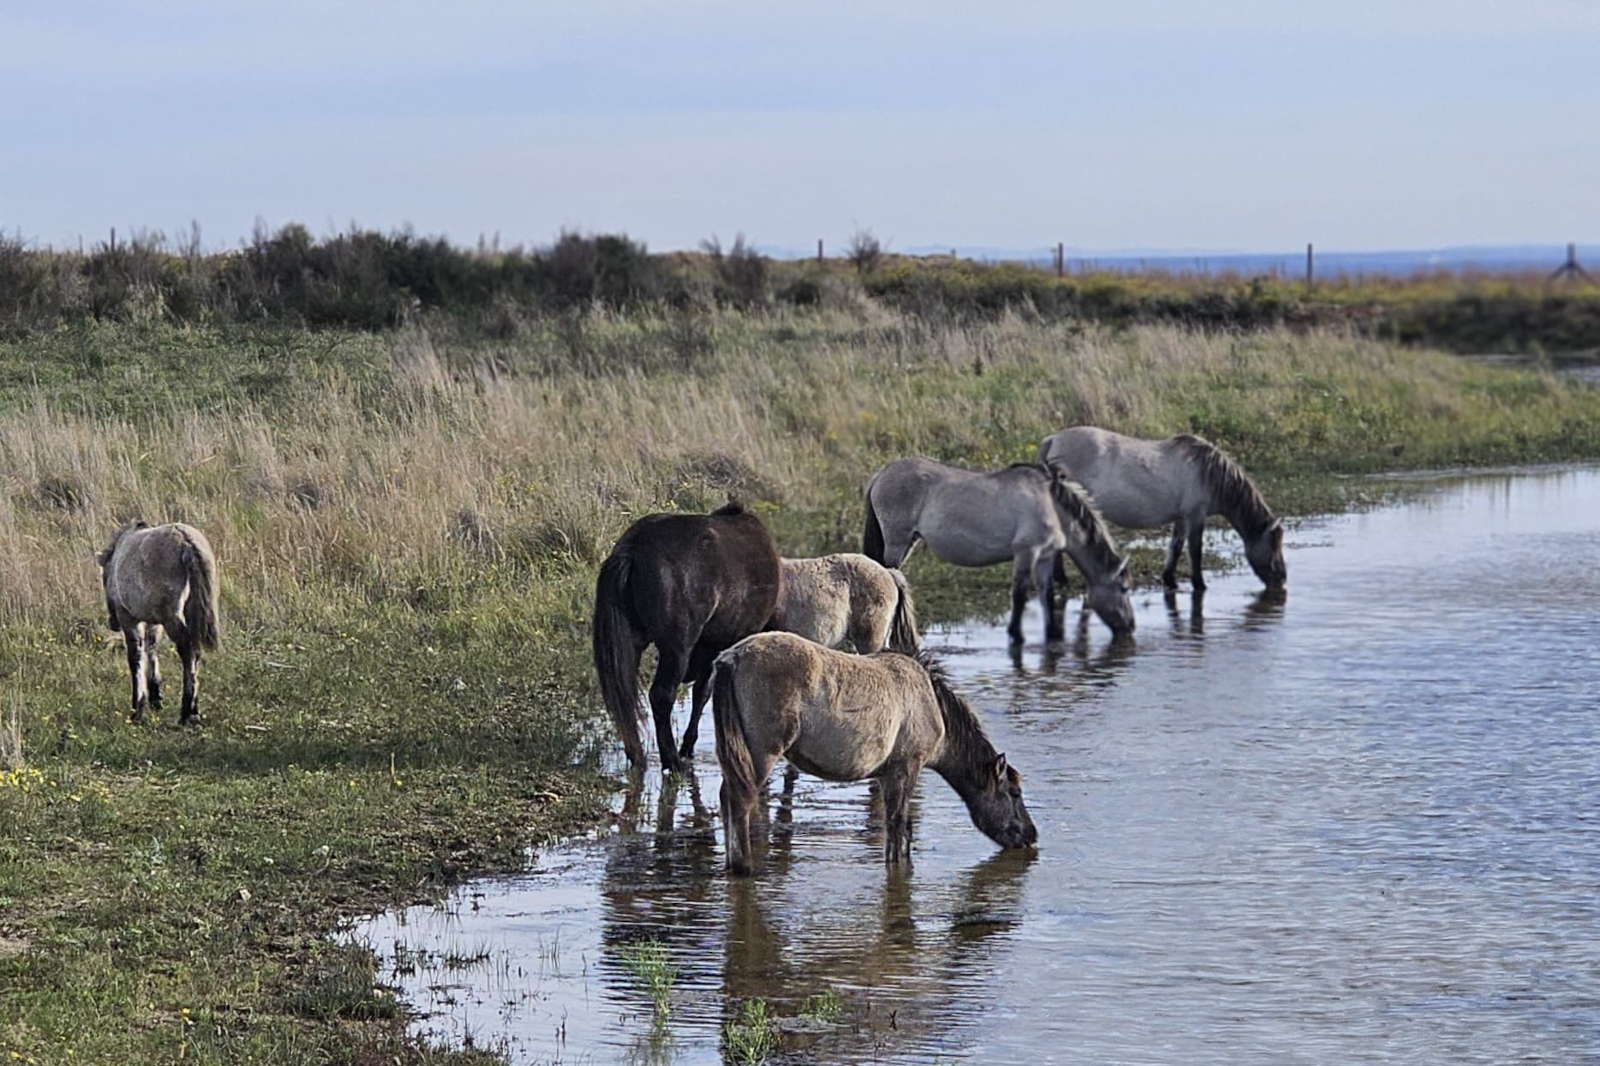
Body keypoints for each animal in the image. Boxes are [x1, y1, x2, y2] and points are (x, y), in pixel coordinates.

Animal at [96, 521, 221, 724]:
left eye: (103, 577)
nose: (113, 623)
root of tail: (186, 541)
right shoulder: (154, 622)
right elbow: (152, 649)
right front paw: (155, 697)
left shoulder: (129, 619)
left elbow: (136, 656)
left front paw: (137, 708)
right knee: (195, 649)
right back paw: (193, 710)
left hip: (171, 617)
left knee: (187, 649)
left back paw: (187, 712)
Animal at [592, 501, 781, 774]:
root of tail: (633, 548)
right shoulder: (720, 644)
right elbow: (703, 692)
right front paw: (687, 746)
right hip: (678, 646)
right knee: (661, 694)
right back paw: (672, 759)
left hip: (634, 643)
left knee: (626, 695)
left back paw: (637, 754)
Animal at [712, 632, 1037, 875]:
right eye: (1014, 793)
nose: (1031, 835)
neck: (931, 703)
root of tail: (732, 657)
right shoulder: (905, 769)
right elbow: (898, 826)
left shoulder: (886, 774)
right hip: (760, 755)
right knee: (740, 801)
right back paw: (744, 867)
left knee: (727, 798)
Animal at [862, 457, 1135, 642]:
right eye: (1123, 589)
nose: (1130, 626)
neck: (1051, 504)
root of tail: (880, 475)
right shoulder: (1027, 552)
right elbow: (1020, 594)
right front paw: (1017, 635)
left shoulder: (1045, 557)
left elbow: (1047, 594)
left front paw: (1054, 634)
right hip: (897, 542)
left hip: (908, 541)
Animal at [1037, 427, 1286, 592]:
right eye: (1273, 543)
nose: (1282, 578)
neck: (1209, 474)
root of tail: (1053, 439)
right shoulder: (1196, 516)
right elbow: (1195, 550)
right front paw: (1199, 584)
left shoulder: (1182, 518)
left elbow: (1176, 547)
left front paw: (1170, 580)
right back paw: (1062, 579)